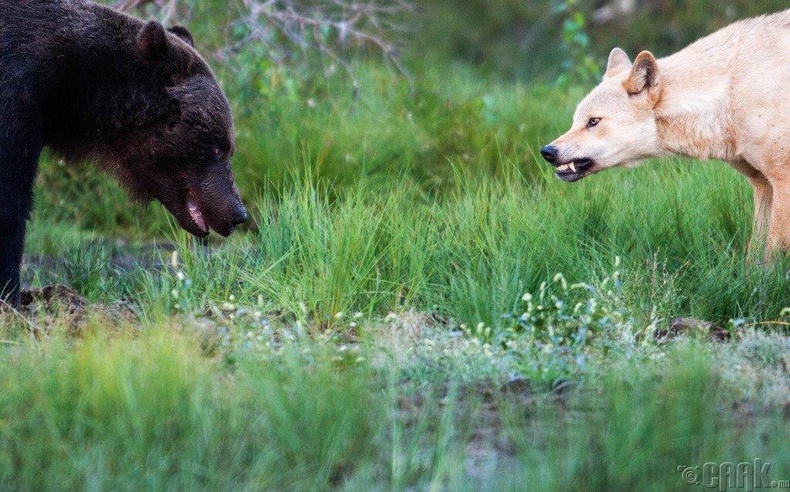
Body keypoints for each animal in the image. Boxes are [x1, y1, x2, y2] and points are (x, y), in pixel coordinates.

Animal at [0, 0, 248, 304]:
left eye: (228, 147)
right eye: (217, 147)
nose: (238, 213)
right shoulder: (16, 97)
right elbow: (11, 200)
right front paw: (11, 293)